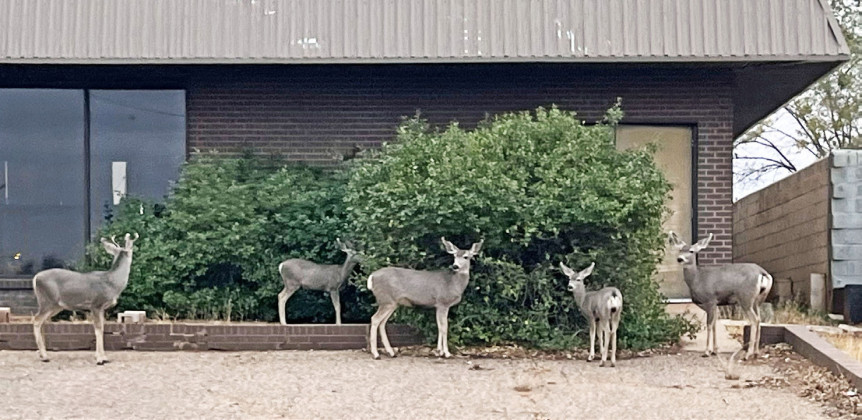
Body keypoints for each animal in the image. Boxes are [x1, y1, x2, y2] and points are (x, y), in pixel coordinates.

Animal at [32, 233, 138, 365]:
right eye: (132, 247)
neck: (112, 284)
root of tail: (35, 278)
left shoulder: (102, 308)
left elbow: (102, 328)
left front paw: (104, 357)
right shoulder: (96, 304)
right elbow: (98, 329)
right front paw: (99, 359)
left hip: (55, 306)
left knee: (42, 322)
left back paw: (42, 354)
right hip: (47, 301)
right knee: (36, 320)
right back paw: (45, 356)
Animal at [668, 231, 773, 360]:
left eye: (691, 251)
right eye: (680, 250)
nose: (679, 259)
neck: (697, 279)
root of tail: (762, 272)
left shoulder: (710, 299)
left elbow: (709, 325)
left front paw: (706, 351)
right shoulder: (715, 304)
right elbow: (714, 325)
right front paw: (715, 350)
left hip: (746, 298)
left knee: (754, 320)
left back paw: (748, 354)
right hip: (758, 300)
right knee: (759, 320)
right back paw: (756, 353)